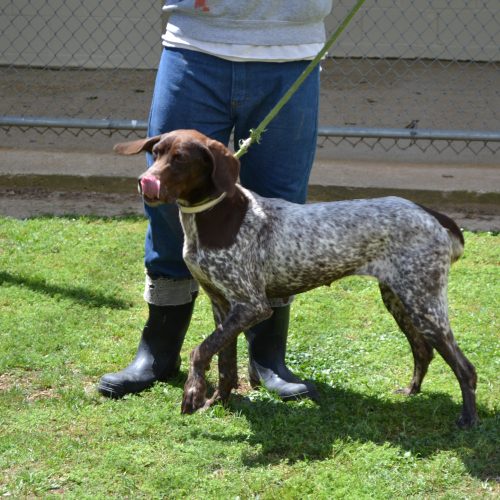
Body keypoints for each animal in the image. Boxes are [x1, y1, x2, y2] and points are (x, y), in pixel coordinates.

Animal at [114, 129, 478, 428]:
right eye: (156, 152)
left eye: (180, 159)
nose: (144, 182)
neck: (213, 216)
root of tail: (430, 213)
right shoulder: (222, 305)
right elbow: (224, 363)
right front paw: (218, 401)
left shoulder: (251, 306)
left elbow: (200, 350)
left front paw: (192, 392)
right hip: (400, 299)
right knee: (423, 351)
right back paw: (412, 391)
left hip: (424, 304)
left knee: (465, 367)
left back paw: (468, 421)